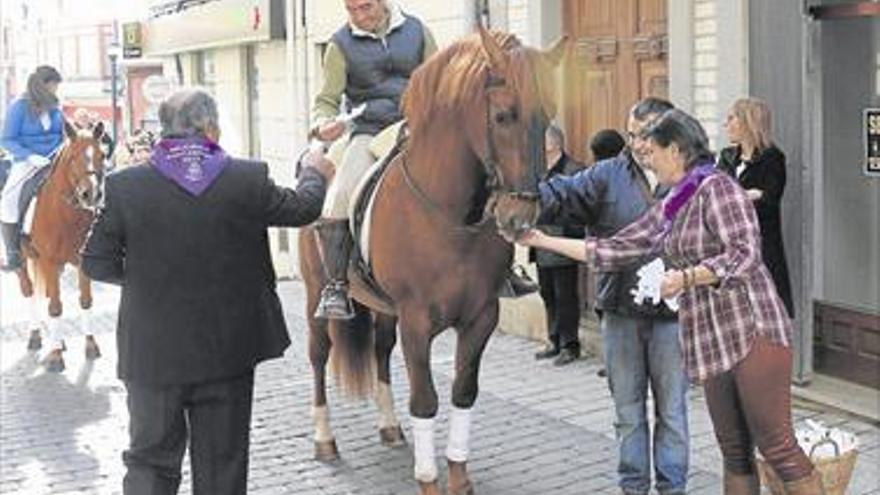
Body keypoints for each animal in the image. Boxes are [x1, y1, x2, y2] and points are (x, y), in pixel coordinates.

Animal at [15, 122, 106, 374]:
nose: (91, 194)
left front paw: (91, 344)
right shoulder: (49, 260)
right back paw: (36, 335)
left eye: (102, 155)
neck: (66, 214)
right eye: (73, 157)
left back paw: (58, 340)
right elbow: (55, 307)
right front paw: (55, 357)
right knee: (29, 291)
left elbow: (85, 301)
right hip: (22, 260)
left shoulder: (82, 261)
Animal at [300, 28, 568, 495]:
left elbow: (463, 392)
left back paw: (390, 427)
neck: (449, 214)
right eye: (503, 116)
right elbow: (425, 401)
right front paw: (428, 481)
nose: (520, 218)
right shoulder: (417, 320)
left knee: (380, 351)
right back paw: (325, 440)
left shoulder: (481, 316)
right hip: (317, 293)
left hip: (383, 308)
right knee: (319, 356)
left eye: (547, 115)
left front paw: (458, 477)